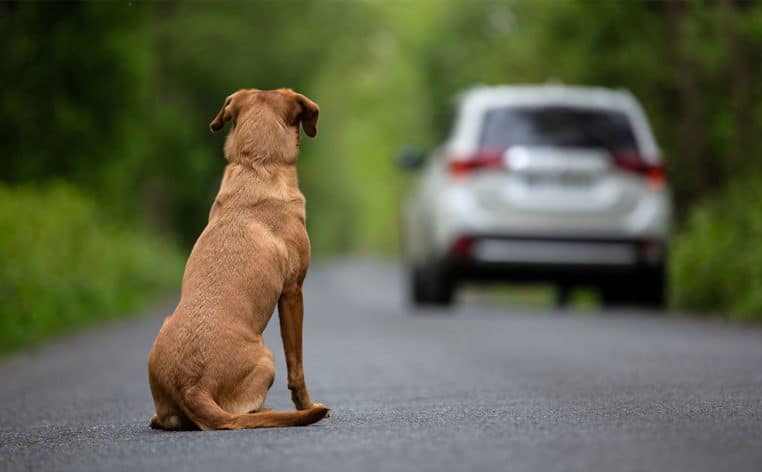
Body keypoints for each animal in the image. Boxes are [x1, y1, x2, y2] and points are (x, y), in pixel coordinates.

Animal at [147, 88, 328, 432]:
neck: (256, 164)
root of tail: (192, 386)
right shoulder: (292, 292)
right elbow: (296, 365)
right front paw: (307, 404)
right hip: (267, 357)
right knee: (245, 412)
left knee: (169, 419)